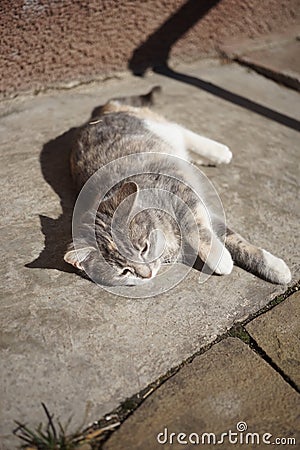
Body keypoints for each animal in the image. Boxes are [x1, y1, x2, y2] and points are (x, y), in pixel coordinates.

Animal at [63, 86, 290, 286]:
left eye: (143, 248)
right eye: (124, 271)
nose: (147, 274)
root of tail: (95, 117)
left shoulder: (180, 190)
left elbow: (197, 229)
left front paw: (224, 259)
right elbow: (232, 239)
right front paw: (273, 267)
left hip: (154, 126)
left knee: (181, 130)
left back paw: (219, 152)